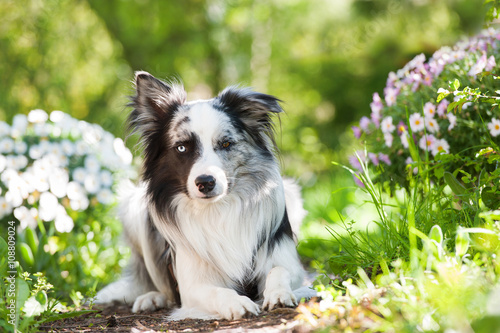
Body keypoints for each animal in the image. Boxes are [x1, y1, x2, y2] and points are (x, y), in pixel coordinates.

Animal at [94, 72, 312, 320]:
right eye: (181, 148)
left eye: (226, 143)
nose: (206, 182)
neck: (218, 211)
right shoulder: (192, 284)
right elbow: (216, 291)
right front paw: (238, 303)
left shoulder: (288, 262)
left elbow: (280, 270)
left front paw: (278, 293)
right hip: (133, 211)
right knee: (164, 290)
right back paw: (153, 298)